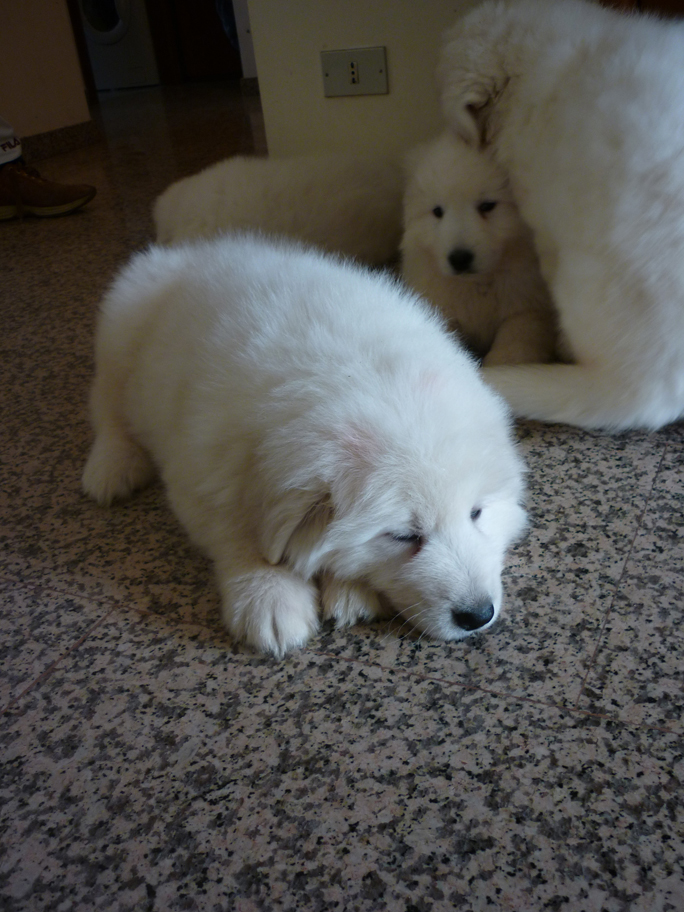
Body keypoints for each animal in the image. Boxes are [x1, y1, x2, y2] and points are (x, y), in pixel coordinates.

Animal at [83, 228, 528, 656]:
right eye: (403, 535)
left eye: (476, 513)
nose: (478, 615)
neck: (353, 375)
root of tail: (196, 251)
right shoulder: (202, 472)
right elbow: (240, 535)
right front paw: (270, 597)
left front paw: (350, 591)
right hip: (121, 323)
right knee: (107, 405)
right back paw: (111, 468)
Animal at [400, 133, 556, 366]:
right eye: (437, 211)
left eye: (487, 206)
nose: (459, 259)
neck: (478, 283)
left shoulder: (529, 308)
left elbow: (517, 339)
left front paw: (502, 362)